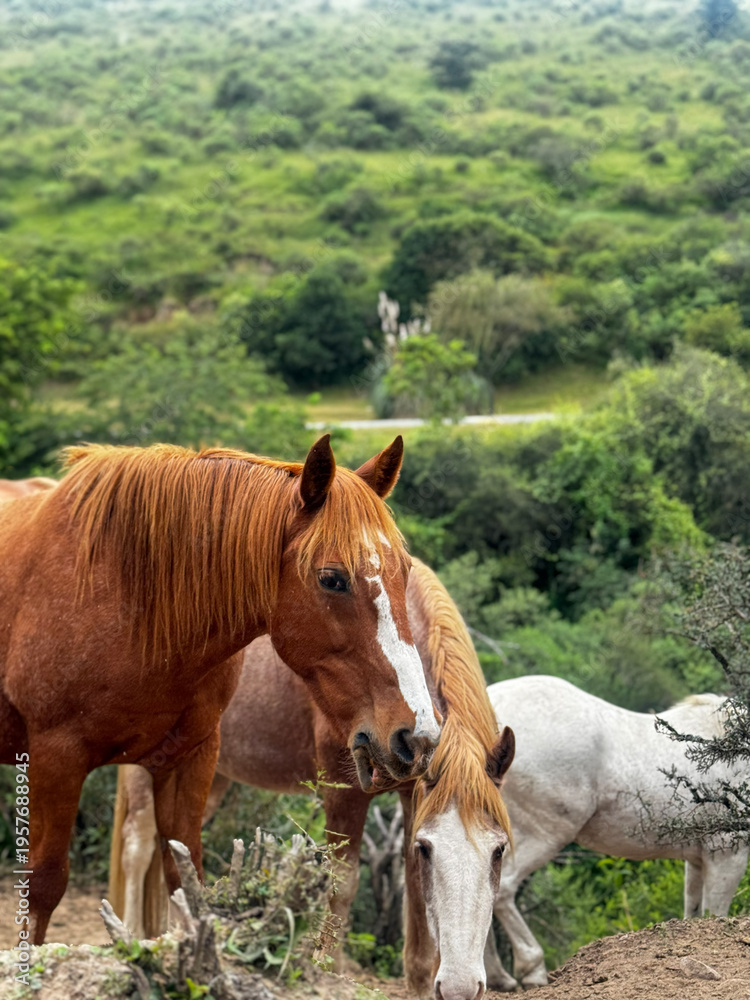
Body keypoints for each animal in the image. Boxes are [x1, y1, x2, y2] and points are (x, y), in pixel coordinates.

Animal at [0, 435, 442, 944]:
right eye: (332, 578)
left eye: (404, 570)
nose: (417, 736)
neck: (127, 598)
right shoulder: (55, 759)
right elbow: (44, 886)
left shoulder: (189, 758)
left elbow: (185, 877)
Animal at [108, 558, 515, 1000]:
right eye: (430, 849)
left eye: (498, 851)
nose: (461, 987)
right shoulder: (345, 791)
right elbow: (344, 879)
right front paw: (328, 968)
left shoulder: (413, 794)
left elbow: (412, 885)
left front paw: (421, 981)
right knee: (138, 845)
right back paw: (134, 934)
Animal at [482, 675, 749, 991]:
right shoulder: (728, 853)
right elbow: (716, 912)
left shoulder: (697, 859)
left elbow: (694, 912)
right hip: (544, 836)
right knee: (503, 890)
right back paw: (531, 969)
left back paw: (497, 977)